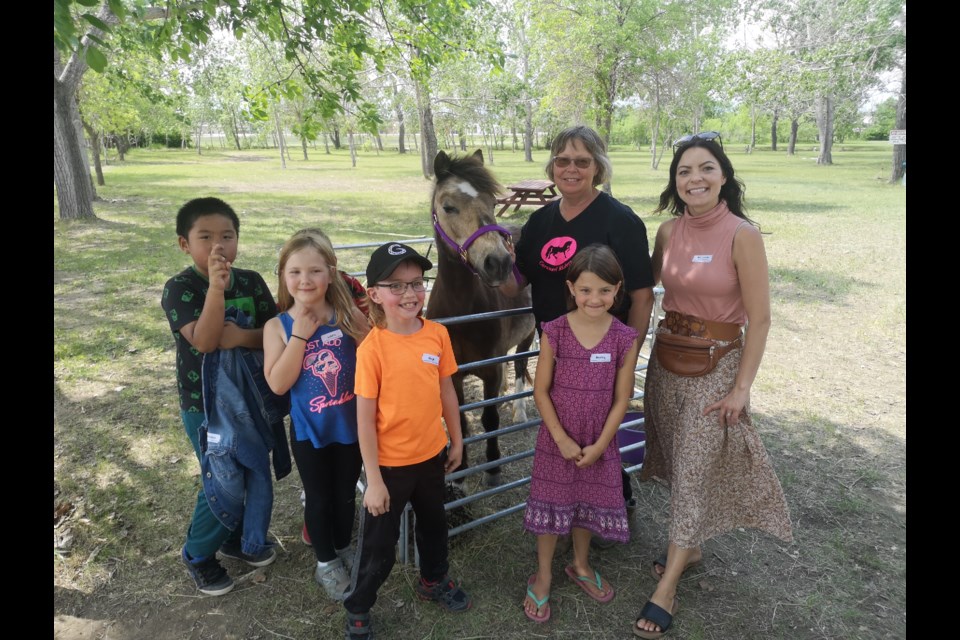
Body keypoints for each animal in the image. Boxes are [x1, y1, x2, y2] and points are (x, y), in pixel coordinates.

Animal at [430, 150, 540, 488]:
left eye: (492, 204)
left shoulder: (490, 370)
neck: (462, 314)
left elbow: (489, 418)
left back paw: (518, 410)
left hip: (528, 336)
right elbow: (461, 421)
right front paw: (460, 472)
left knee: (519, 366)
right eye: (448, 206)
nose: (499, 262)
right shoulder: (451, 376)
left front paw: (492, 467)